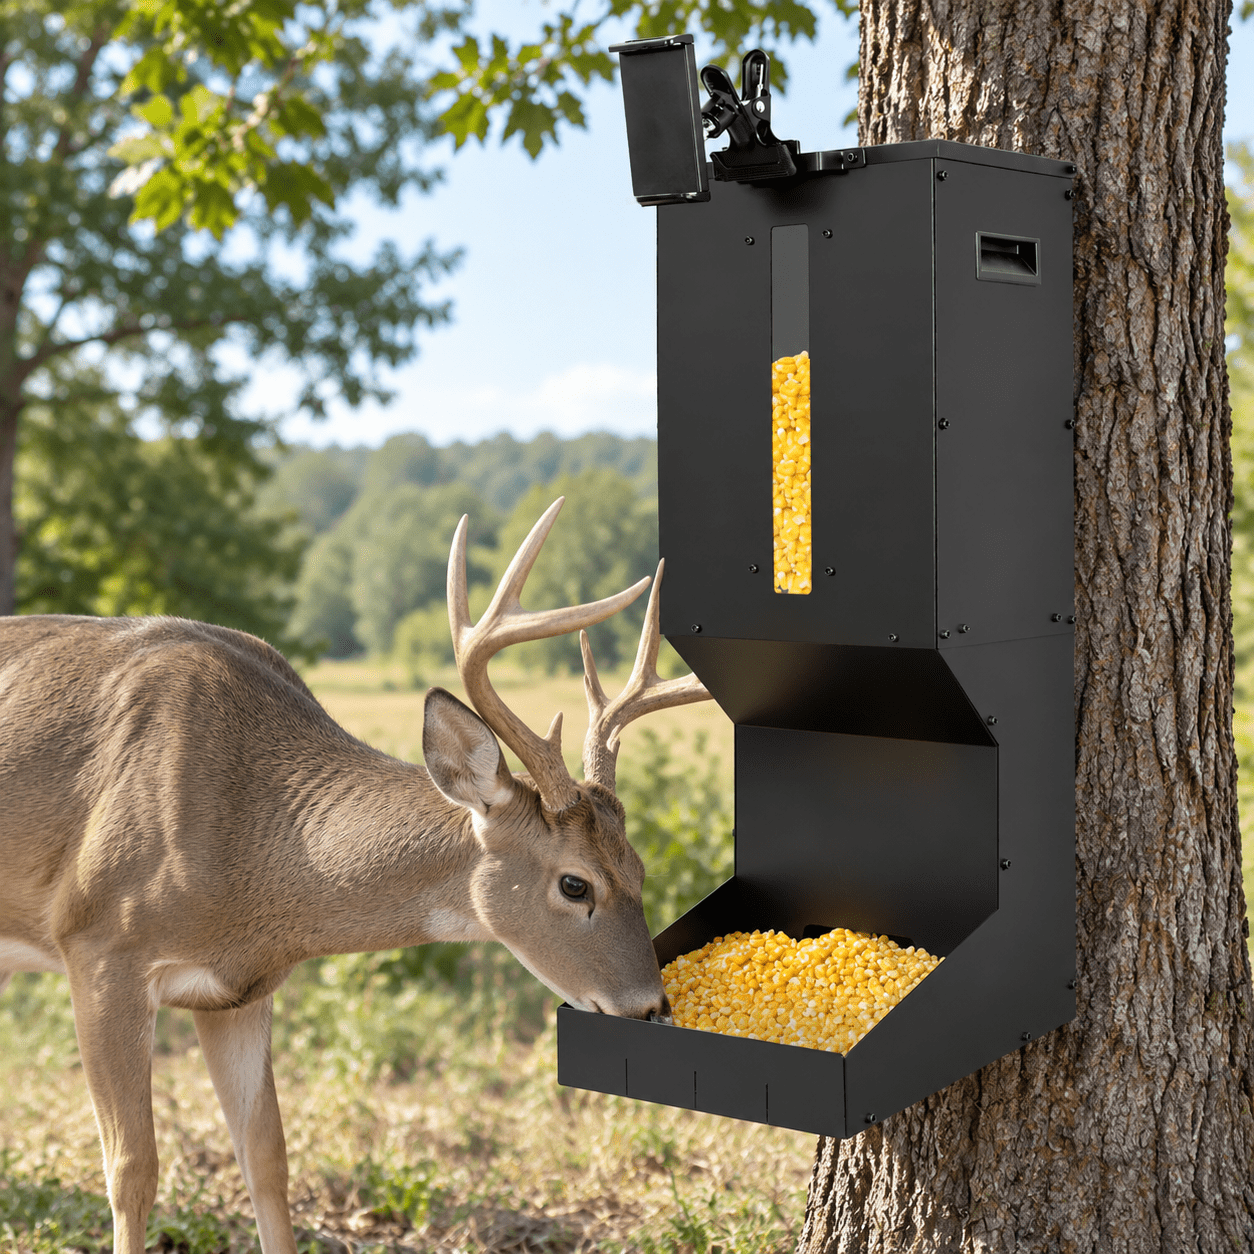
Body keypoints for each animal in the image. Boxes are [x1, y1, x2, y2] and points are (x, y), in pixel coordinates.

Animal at [0, 497, 711, 1254]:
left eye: (637, 866)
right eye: (575, 883)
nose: (651, 1007)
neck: (253, 854)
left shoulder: (238, 988)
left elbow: (267, 1159)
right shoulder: (99, 944)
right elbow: (132, 1169)